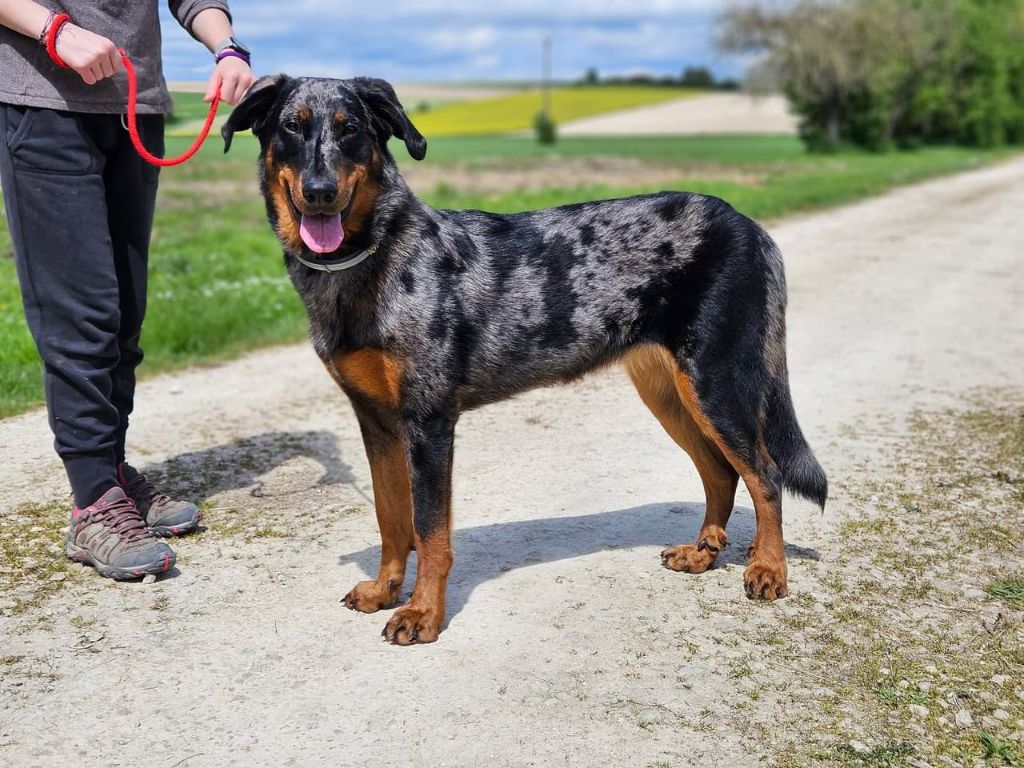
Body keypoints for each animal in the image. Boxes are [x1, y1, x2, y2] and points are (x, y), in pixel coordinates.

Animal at [222, 78, 823, 647]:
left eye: (351, 130)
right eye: (292, 127)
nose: (320, 193)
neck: (373, 254)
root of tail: (750, 225)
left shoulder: (429, 422)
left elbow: (430, 532)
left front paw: (422, 613)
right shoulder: (376, 421)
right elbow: (392, 518)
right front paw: (385, 590)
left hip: (716, 383)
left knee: (765, 474)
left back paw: (768, 569)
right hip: (670, 392)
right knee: (721, 472)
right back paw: (702, 554)